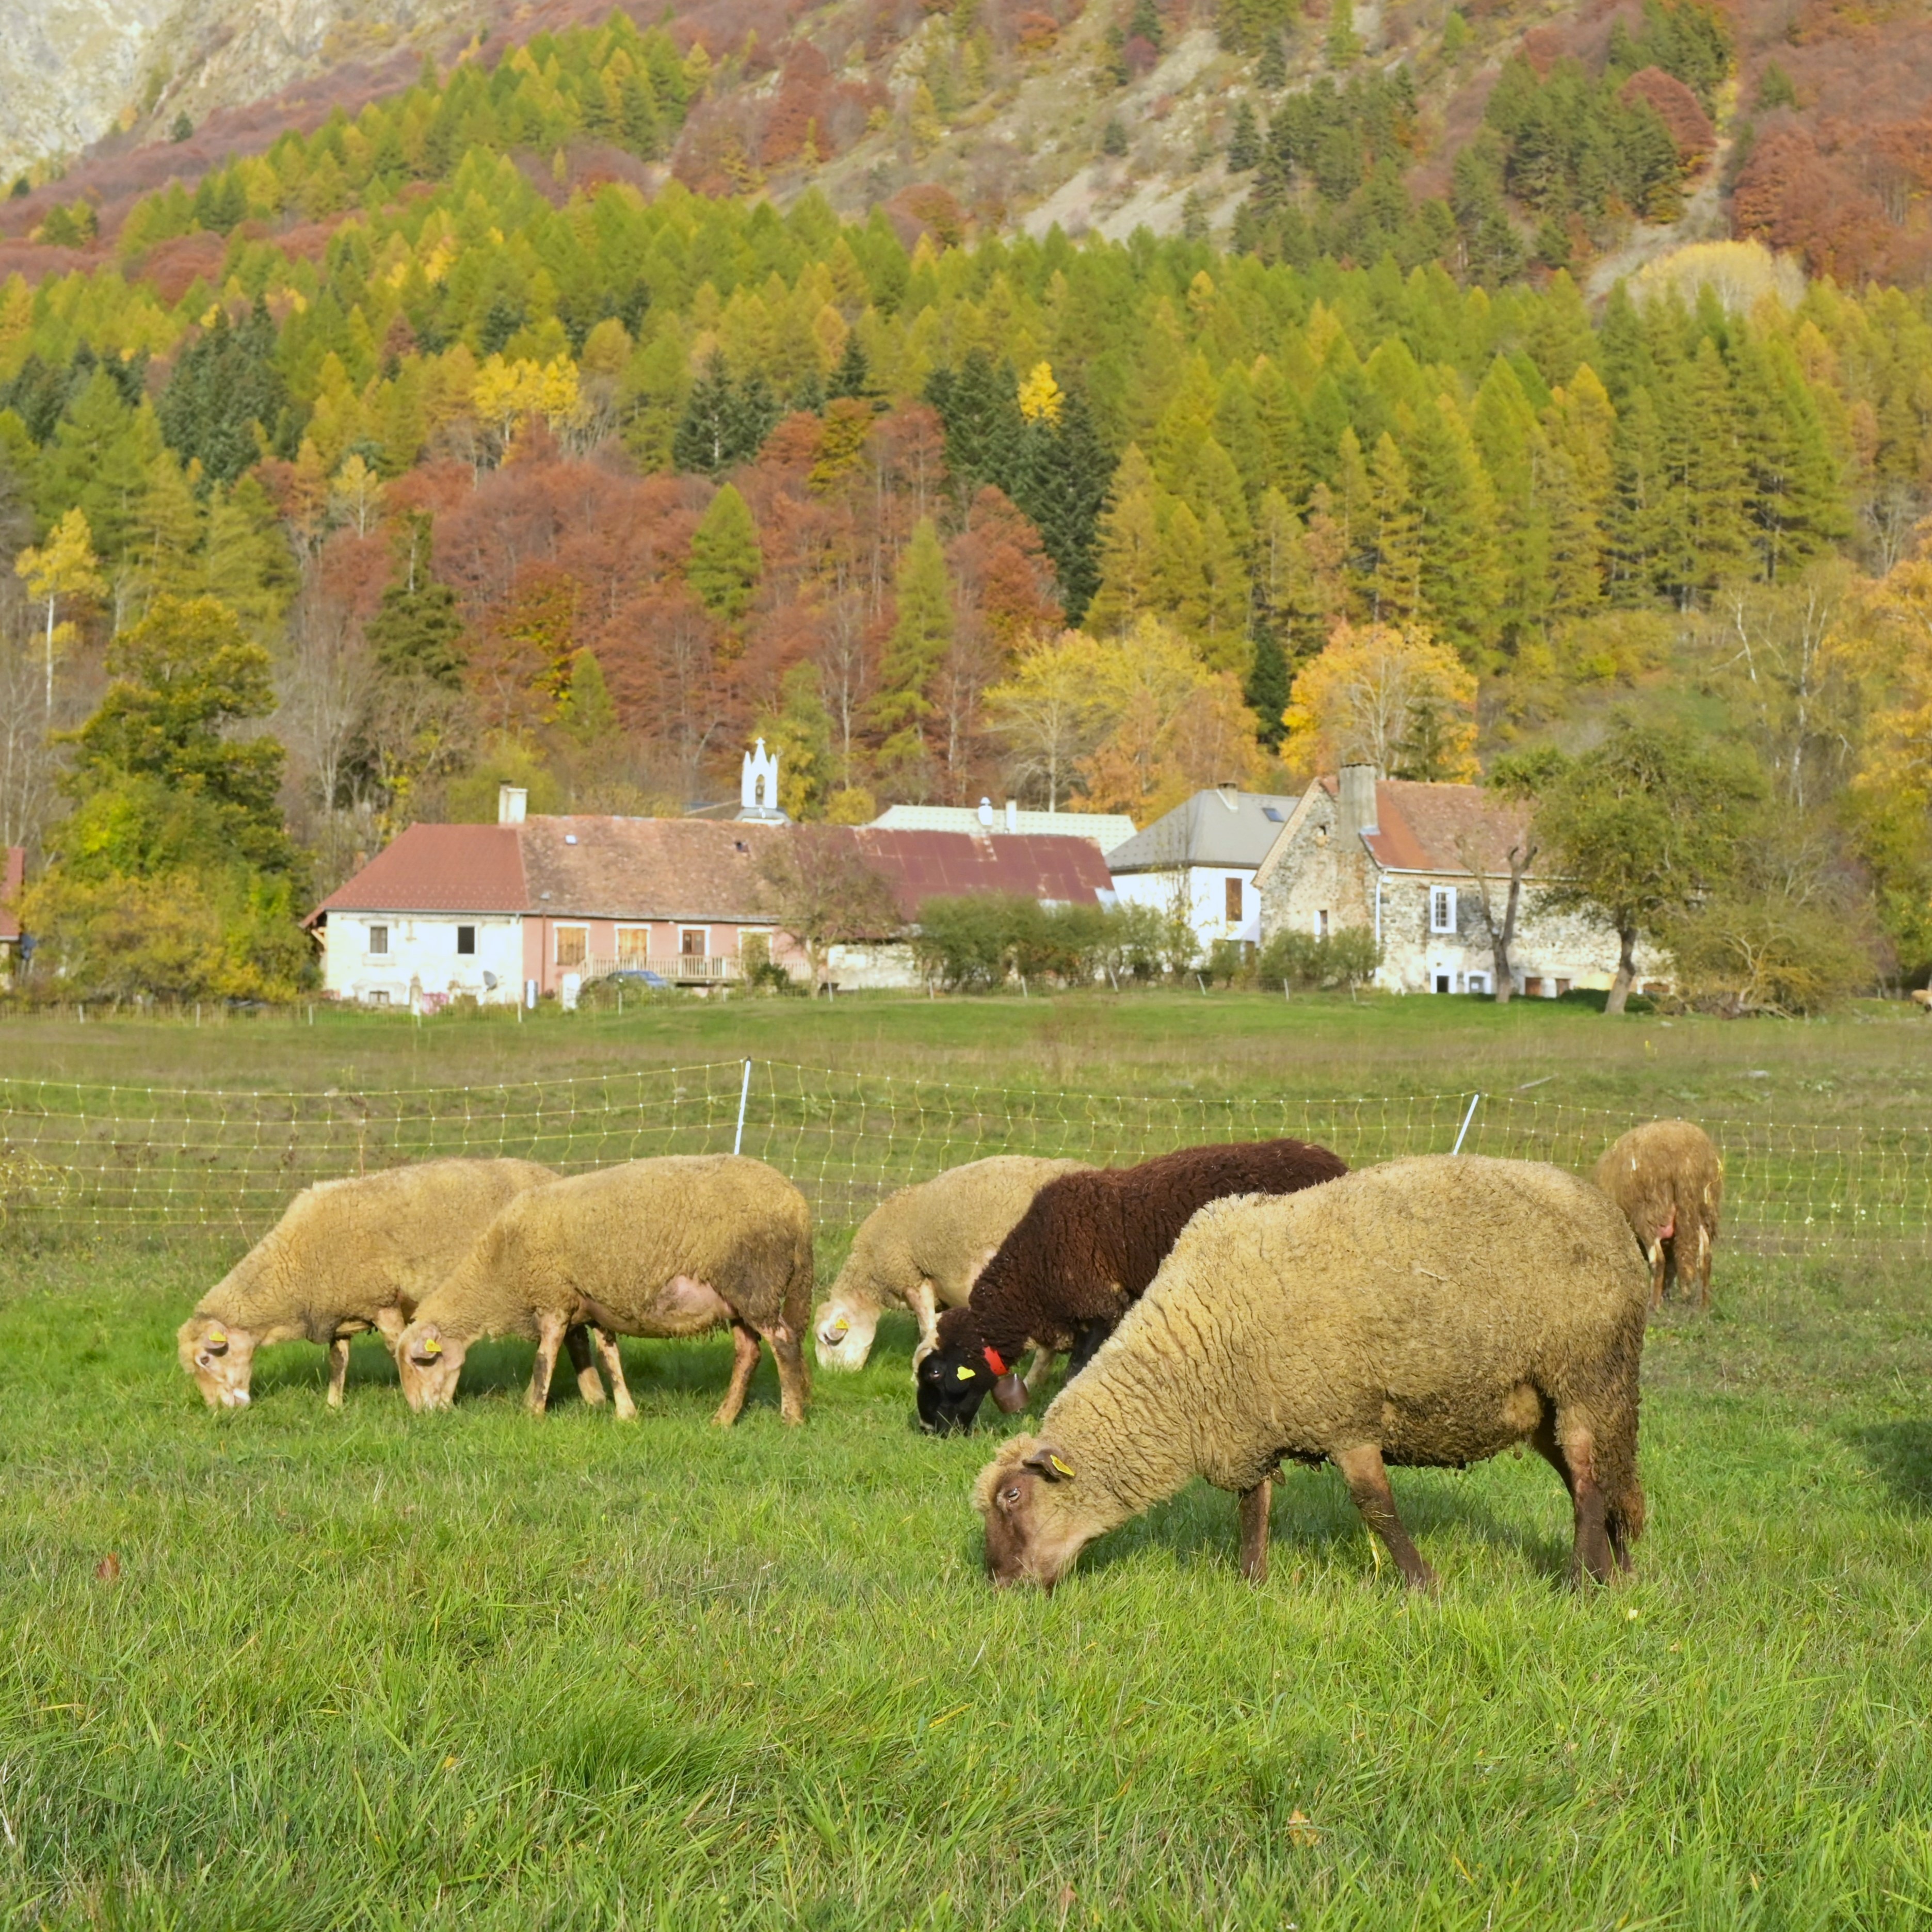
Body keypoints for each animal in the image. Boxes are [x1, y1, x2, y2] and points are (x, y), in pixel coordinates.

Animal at [173, 1151, 556, 1414]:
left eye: (205, 1359)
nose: (220, 1412)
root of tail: (548, 1172)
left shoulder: (382, 1303)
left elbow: (396, 1348)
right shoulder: (339, 1311)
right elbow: (337, 1363)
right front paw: (333, 1407)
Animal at [392, 1151, 815, 1429]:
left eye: (419, 1361)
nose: (421, 1416)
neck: (499, 1271)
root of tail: (798, 1206)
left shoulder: (554, 1298)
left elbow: (544, 1360)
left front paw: (532, 1410)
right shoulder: (597, 1304)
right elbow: (610, 1359)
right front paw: (626, 1414)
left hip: (754, 1283)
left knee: (783, 1343)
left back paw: (791, 1418)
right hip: (740, 1299)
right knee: (749, 1354)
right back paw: (723, 1420)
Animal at [915, 1128, 1344, 1437]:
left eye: (935, 1373)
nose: (928, 1430)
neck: (1035, 1269)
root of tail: (1333, 1162)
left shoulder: (1100, 1306)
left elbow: (1076, 1373)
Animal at [973, 1151, 1653, 1592]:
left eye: (1012, 1497)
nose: (1001, 1585)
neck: (1188, 1361)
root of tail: (1609, 1215)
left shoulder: (1344, 1414)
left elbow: (1376, 1507)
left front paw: (1423, 1584)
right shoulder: (1252, 1423)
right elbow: (1254, 1508)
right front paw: (1251, 1584)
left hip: (1588, 1371)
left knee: (1589, 1478)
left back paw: (1582, 1581)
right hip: (1543, 1400)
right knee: (1594, 1475)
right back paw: (1616, 1570)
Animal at [1592, 1120, 1731, 1313]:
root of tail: (1687, 1162)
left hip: (1650, 1211)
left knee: (1658, 1260)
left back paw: (1654, 1305)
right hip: (1704, 1212)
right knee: (1706, 1258)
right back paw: (1703, 1306)